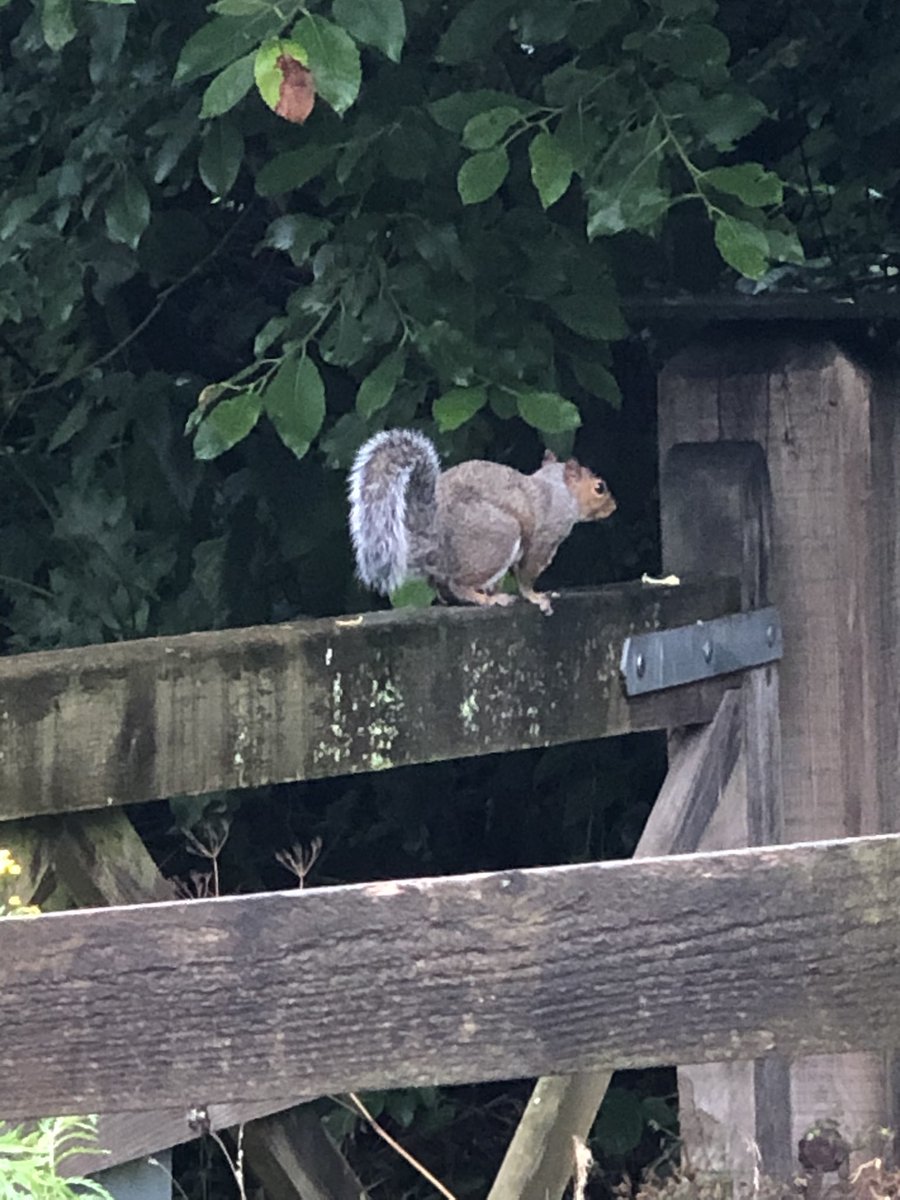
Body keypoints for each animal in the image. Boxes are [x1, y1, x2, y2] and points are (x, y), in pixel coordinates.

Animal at [348, 428, 616, 615]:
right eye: (599, 488)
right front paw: (536, 597)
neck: (557, 491)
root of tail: (433, 539)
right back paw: (489, 599)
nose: (614, 507)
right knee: (458, 584)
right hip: (498, 537)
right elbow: (527, 574)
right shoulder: (543, 539)